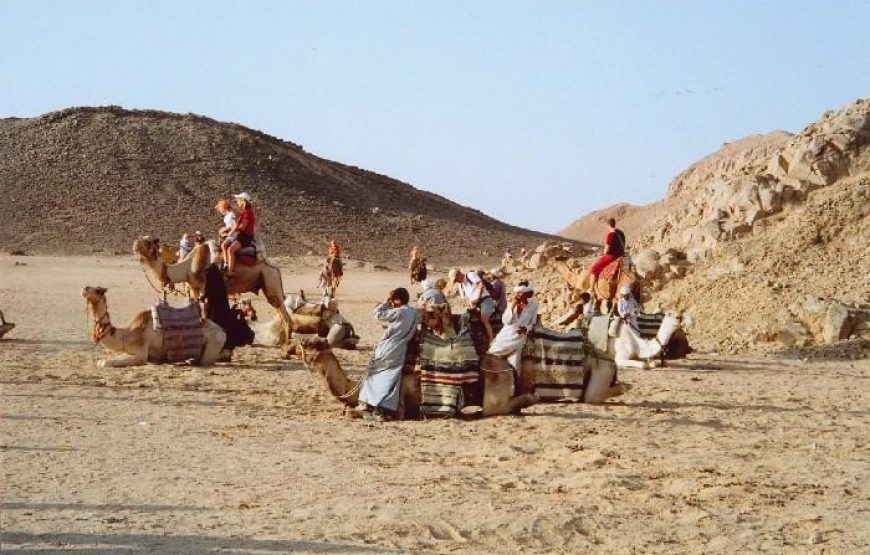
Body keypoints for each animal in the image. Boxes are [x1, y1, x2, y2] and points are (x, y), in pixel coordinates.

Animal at [81, 286, 228, 370]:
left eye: (98, 290)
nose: (84, 289)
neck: (126, 334)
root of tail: (222, 331)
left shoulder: (141, 352)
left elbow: (106, 363)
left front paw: (103, 362)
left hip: (213, 344)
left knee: (210, 359)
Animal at [130, 237, 292, 346]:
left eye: (148, 241)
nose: (134, 244)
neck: (187, 267)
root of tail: (275, 268)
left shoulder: (204, 289)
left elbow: (205, 313)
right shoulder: (194, 290)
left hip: (270, 278)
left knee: (282, 309)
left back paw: (287, 342)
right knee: (278, 309)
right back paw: (280, 340)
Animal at [290, 334, 540, 422]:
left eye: (314, 343)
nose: (297, 343)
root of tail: (509, 367)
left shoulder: (397, 407)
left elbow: (351, 412)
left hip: (494, 391)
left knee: (500, 406)